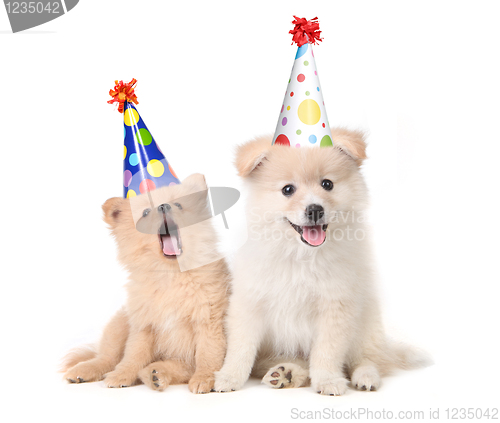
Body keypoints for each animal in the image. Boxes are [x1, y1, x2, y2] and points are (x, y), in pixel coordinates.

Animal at [213, 131, 428, 396]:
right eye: (287, 189)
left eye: (327, 184)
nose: (315, 209)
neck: (301, 255)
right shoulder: (249, 303)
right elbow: (240, 348)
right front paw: (229, 377)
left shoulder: (336, 306)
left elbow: (327, 351)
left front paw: (327, 380)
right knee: (297, 363)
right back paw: (286, 374)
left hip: (366, 324)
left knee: (367, 359)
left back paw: (366, 377)